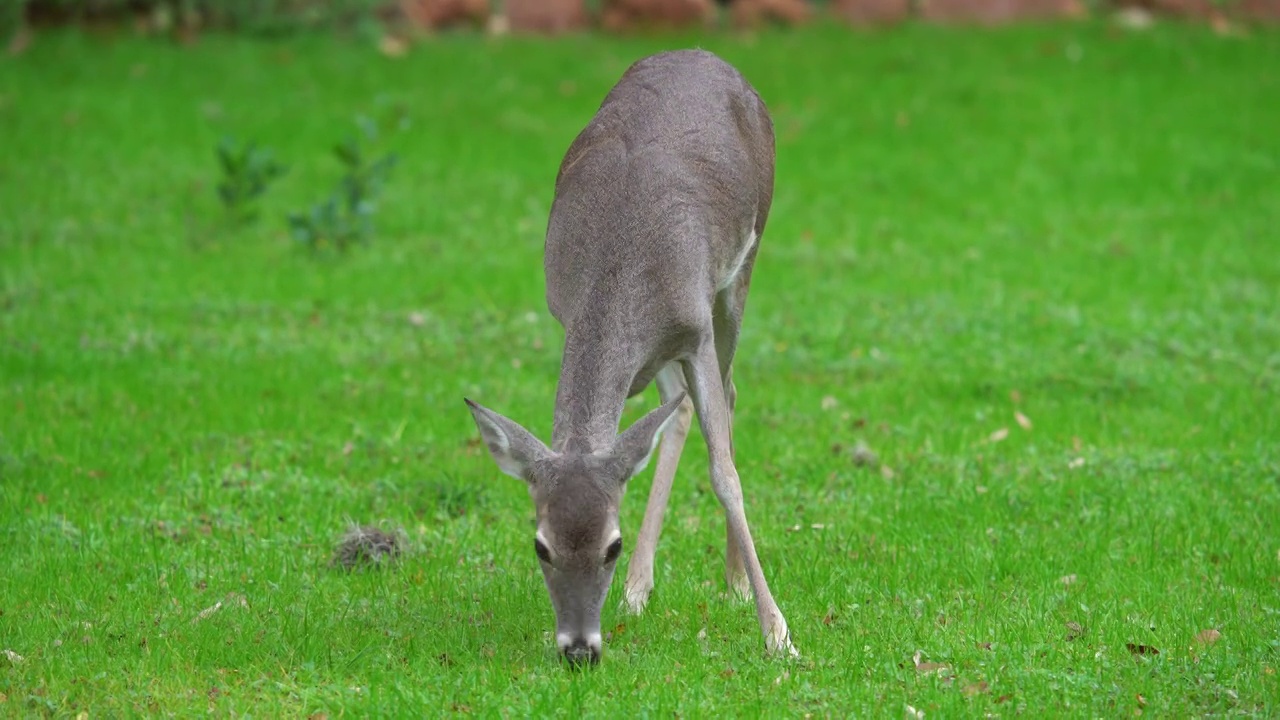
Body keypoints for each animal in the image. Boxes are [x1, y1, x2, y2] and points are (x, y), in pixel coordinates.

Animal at [465, 47, 793, 666]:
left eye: (610, 546)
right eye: (540, 546)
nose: (578, 649)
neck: (619, 254)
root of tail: (706, 54)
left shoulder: (696, 330)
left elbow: (724, 472)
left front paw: (777, 633)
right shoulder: (569, 313)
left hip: (744, 263)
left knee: (729, 392)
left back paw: (736, 581)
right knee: (678, 407)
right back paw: (641, 588)